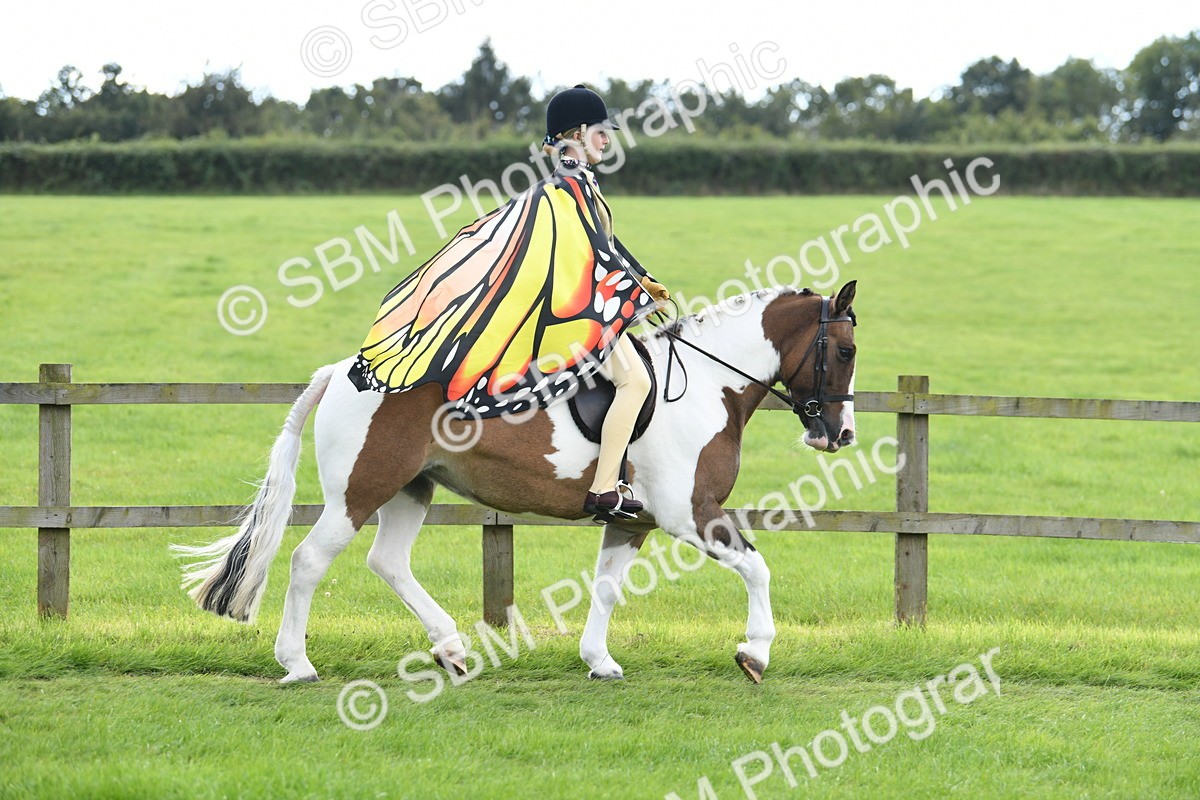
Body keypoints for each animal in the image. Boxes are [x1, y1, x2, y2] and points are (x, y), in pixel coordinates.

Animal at [174, 281, 858, 684]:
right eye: (847, 351)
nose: (840, 435)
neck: (707, 386)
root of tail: (346, 370)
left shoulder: (633, 520)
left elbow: (606, 588)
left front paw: (599, 661)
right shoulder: (689, 511)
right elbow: (757, 567)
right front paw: (755, 653)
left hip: (412, 488)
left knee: (388, 562)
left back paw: (451, 649)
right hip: (359, 493)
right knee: (310, 561)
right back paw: (298, 664)